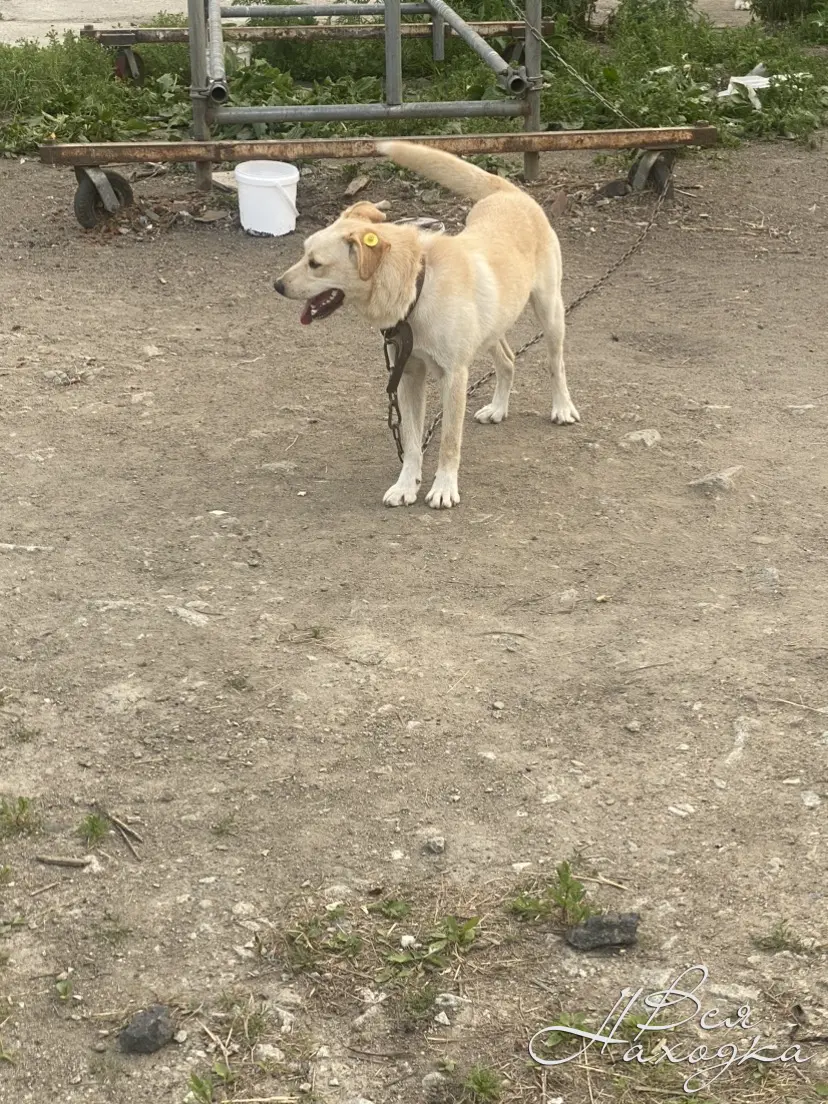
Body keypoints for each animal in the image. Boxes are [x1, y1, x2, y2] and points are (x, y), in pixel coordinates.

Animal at [276, 139, 578, 512]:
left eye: (315, 264)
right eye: (302, 254)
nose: (277, 285)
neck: (418, 286)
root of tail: (507, 191)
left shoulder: (454, 377)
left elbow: (449, 442)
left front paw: (444, 488)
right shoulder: (407, 375)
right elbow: (411, 442)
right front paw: (407, 485)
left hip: (549, 310)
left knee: (556, 363)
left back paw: (562, 407)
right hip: (492, 326)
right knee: (508, 360)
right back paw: (498, 408)